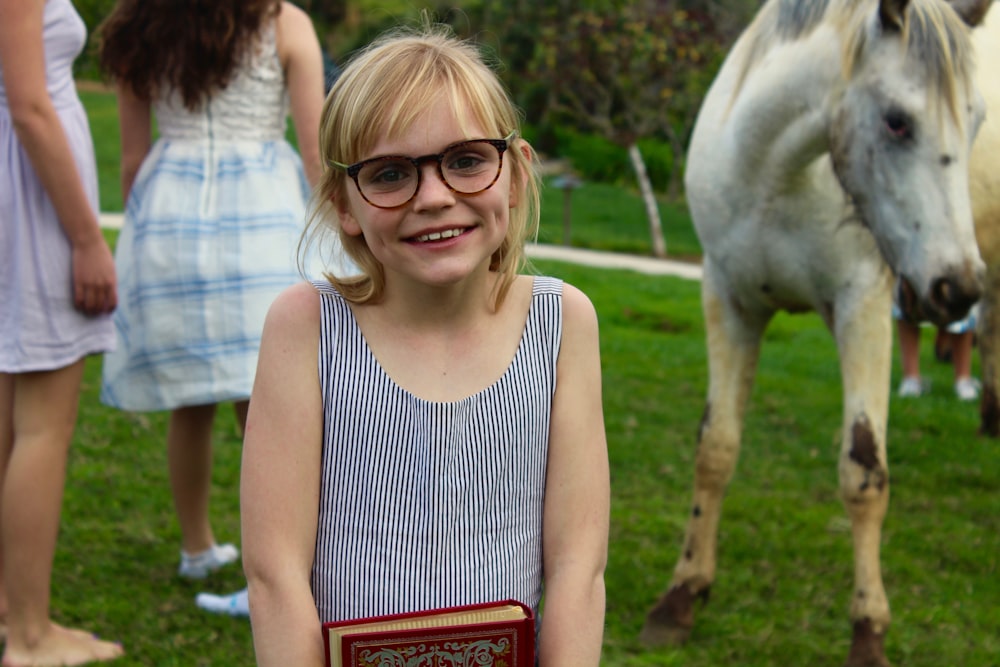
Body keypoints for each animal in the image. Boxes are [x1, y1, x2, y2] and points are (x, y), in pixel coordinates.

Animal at [640, 1, 992, 667]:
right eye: (898, 121)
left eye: (978, 120)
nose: (956, 288)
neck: (775, 174)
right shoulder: (727, 298)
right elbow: (715, 447)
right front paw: (681, 594)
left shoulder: (865, 307)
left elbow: (863, 471)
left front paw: (869, 631)